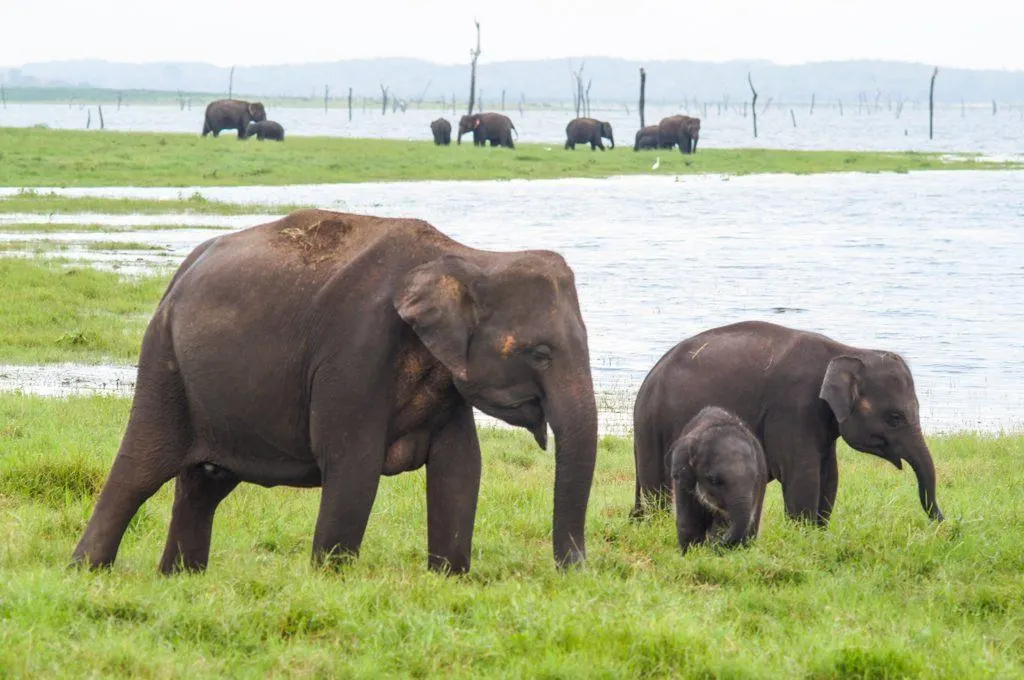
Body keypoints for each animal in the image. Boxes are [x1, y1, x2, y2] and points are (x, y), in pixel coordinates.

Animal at [70, 209, 598, 577]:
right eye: (540, 353)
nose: (576, 571)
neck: (469, 256)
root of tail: (181, 271)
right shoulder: (355, 352)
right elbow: (353, 467)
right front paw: (332, 582)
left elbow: (461, 468)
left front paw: (450, 579)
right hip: (164, 362)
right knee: (139, 469)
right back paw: (87, 572)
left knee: (204, 485)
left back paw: (181, 579)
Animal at [630, 323, 942, 524]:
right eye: (894, 418)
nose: (941, 522)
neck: (845, 350)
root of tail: (650, 376)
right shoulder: (793, 407)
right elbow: (802, 475)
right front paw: (803, 531)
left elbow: (829, 476)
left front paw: (819, 531)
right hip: (654, 426)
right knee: (657, 487)